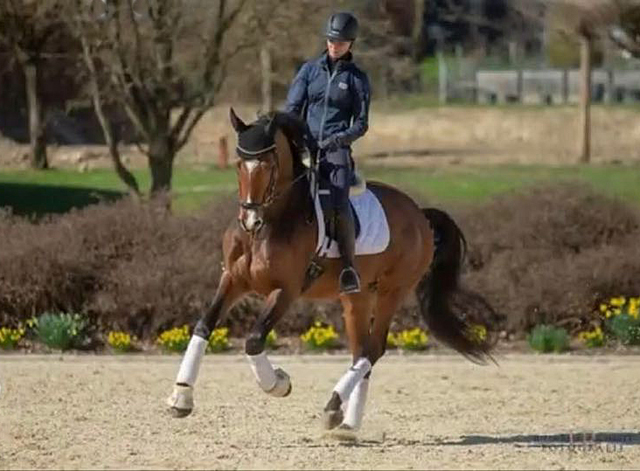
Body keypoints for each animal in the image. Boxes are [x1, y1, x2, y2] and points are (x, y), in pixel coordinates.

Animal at [166, 109, 496, 434]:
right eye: (238, 164)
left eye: (268, 164)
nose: (249, 220)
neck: (269, 225)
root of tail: (419, 214)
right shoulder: (233, 280)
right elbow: (203, 325)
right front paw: (181, 397)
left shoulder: (286, 290)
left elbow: (254, 339)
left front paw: (278, 383)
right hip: (357, 297)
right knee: (361, 351)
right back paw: (347, 424)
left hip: (392, 291)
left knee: (373, 349)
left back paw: (334, 406)